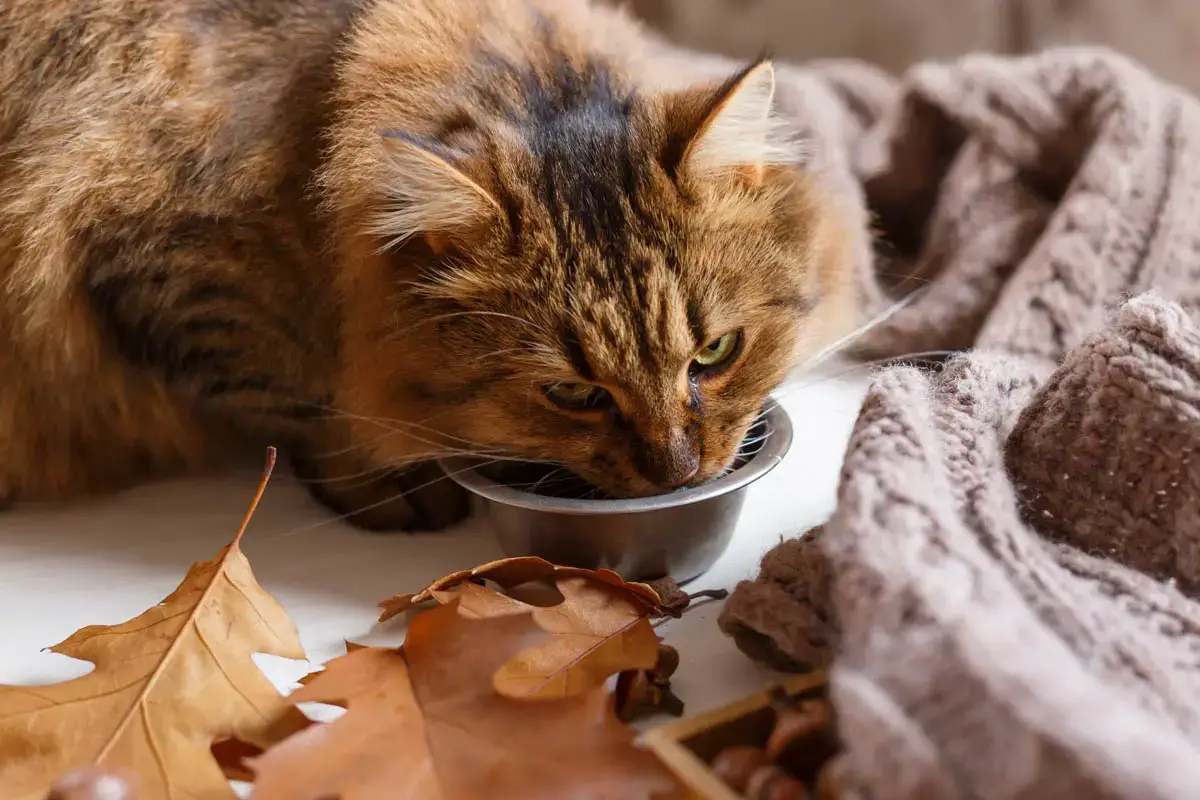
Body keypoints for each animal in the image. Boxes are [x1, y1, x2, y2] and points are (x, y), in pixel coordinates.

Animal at [0, 0, 864, 532]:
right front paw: (391, 484)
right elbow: (301, 402)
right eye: (572, 394)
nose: (680, 472)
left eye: (715, 353)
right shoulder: (172, 274)